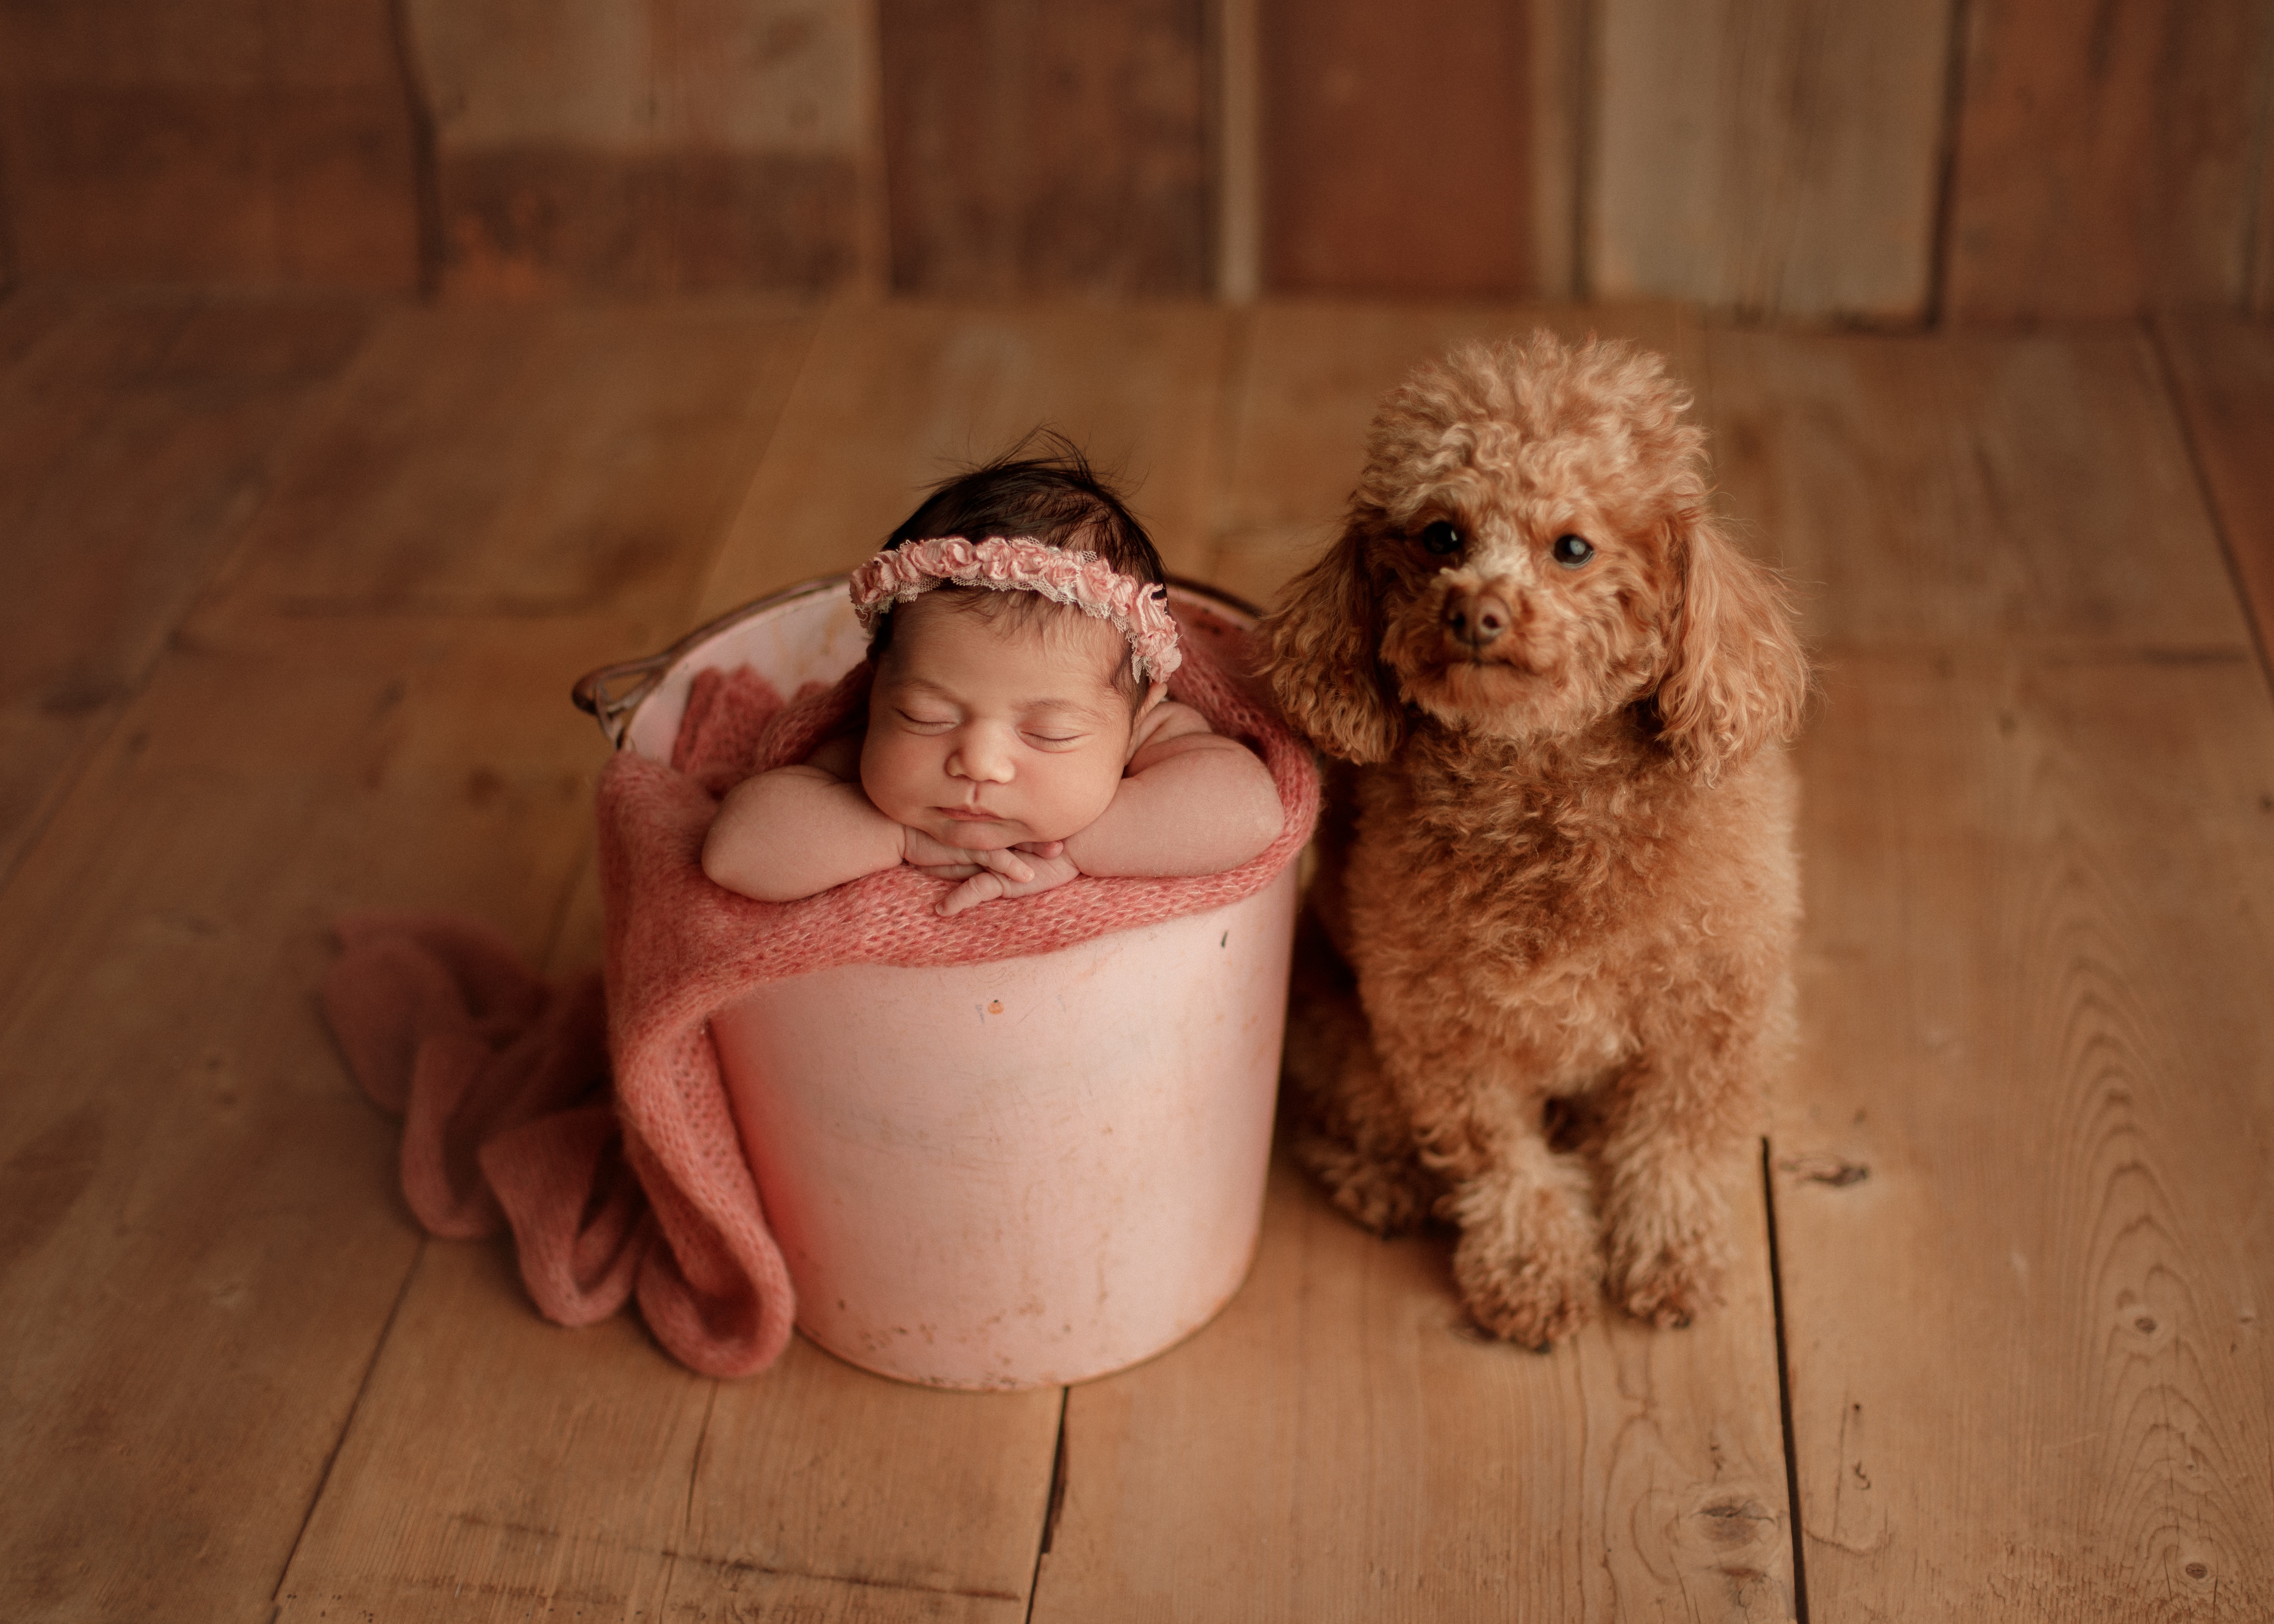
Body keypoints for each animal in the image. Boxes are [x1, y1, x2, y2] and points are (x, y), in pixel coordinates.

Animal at [1264, 330, 1810, 1337]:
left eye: (1572, 548)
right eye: (1441, 535)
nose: (1475, 612)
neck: (1543, 795)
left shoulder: (1707, 1016)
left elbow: (1670, 1146)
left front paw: (1669, 1257)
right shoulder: (1442, 1030)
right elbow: (1498, 1158)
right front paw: (1533, 1269)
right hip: (1335, 1025)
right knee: (1352, 1117)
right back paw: (1381, 1181)